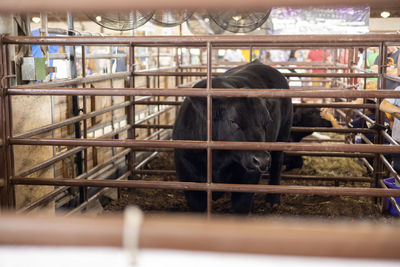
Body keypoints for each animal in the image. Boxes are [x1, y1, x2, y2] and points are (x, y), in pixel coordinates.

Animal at [171, 59, 290, 215]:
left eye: (267, 122)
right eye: (233, 121)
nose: (262, 160)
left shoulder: (247, 181)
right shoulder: (189, 179)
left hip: (283, 133)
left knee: (277, 163)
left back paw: (273, 199)